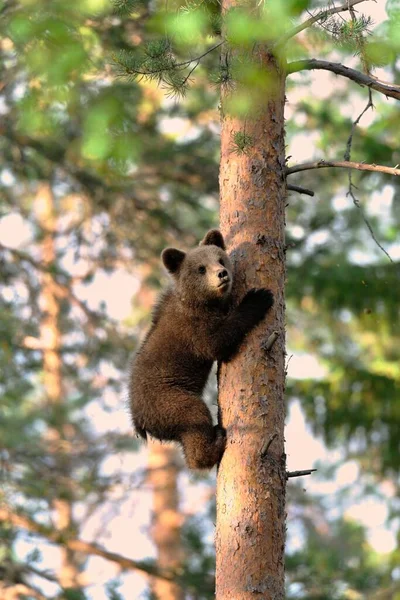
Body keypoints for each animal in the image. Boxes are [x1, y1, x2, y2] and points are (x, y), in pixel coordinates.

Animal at [130, 229, 274, 468]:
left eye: (220, 259)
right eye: (201, 268)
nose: (222, 274)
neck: (201, 302)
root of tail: (139, 422)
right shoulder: (194, 330)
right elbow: (218, 342)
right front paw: (259, 297)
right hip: (170, 399)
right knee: (194, 418)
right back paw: (217, 440)